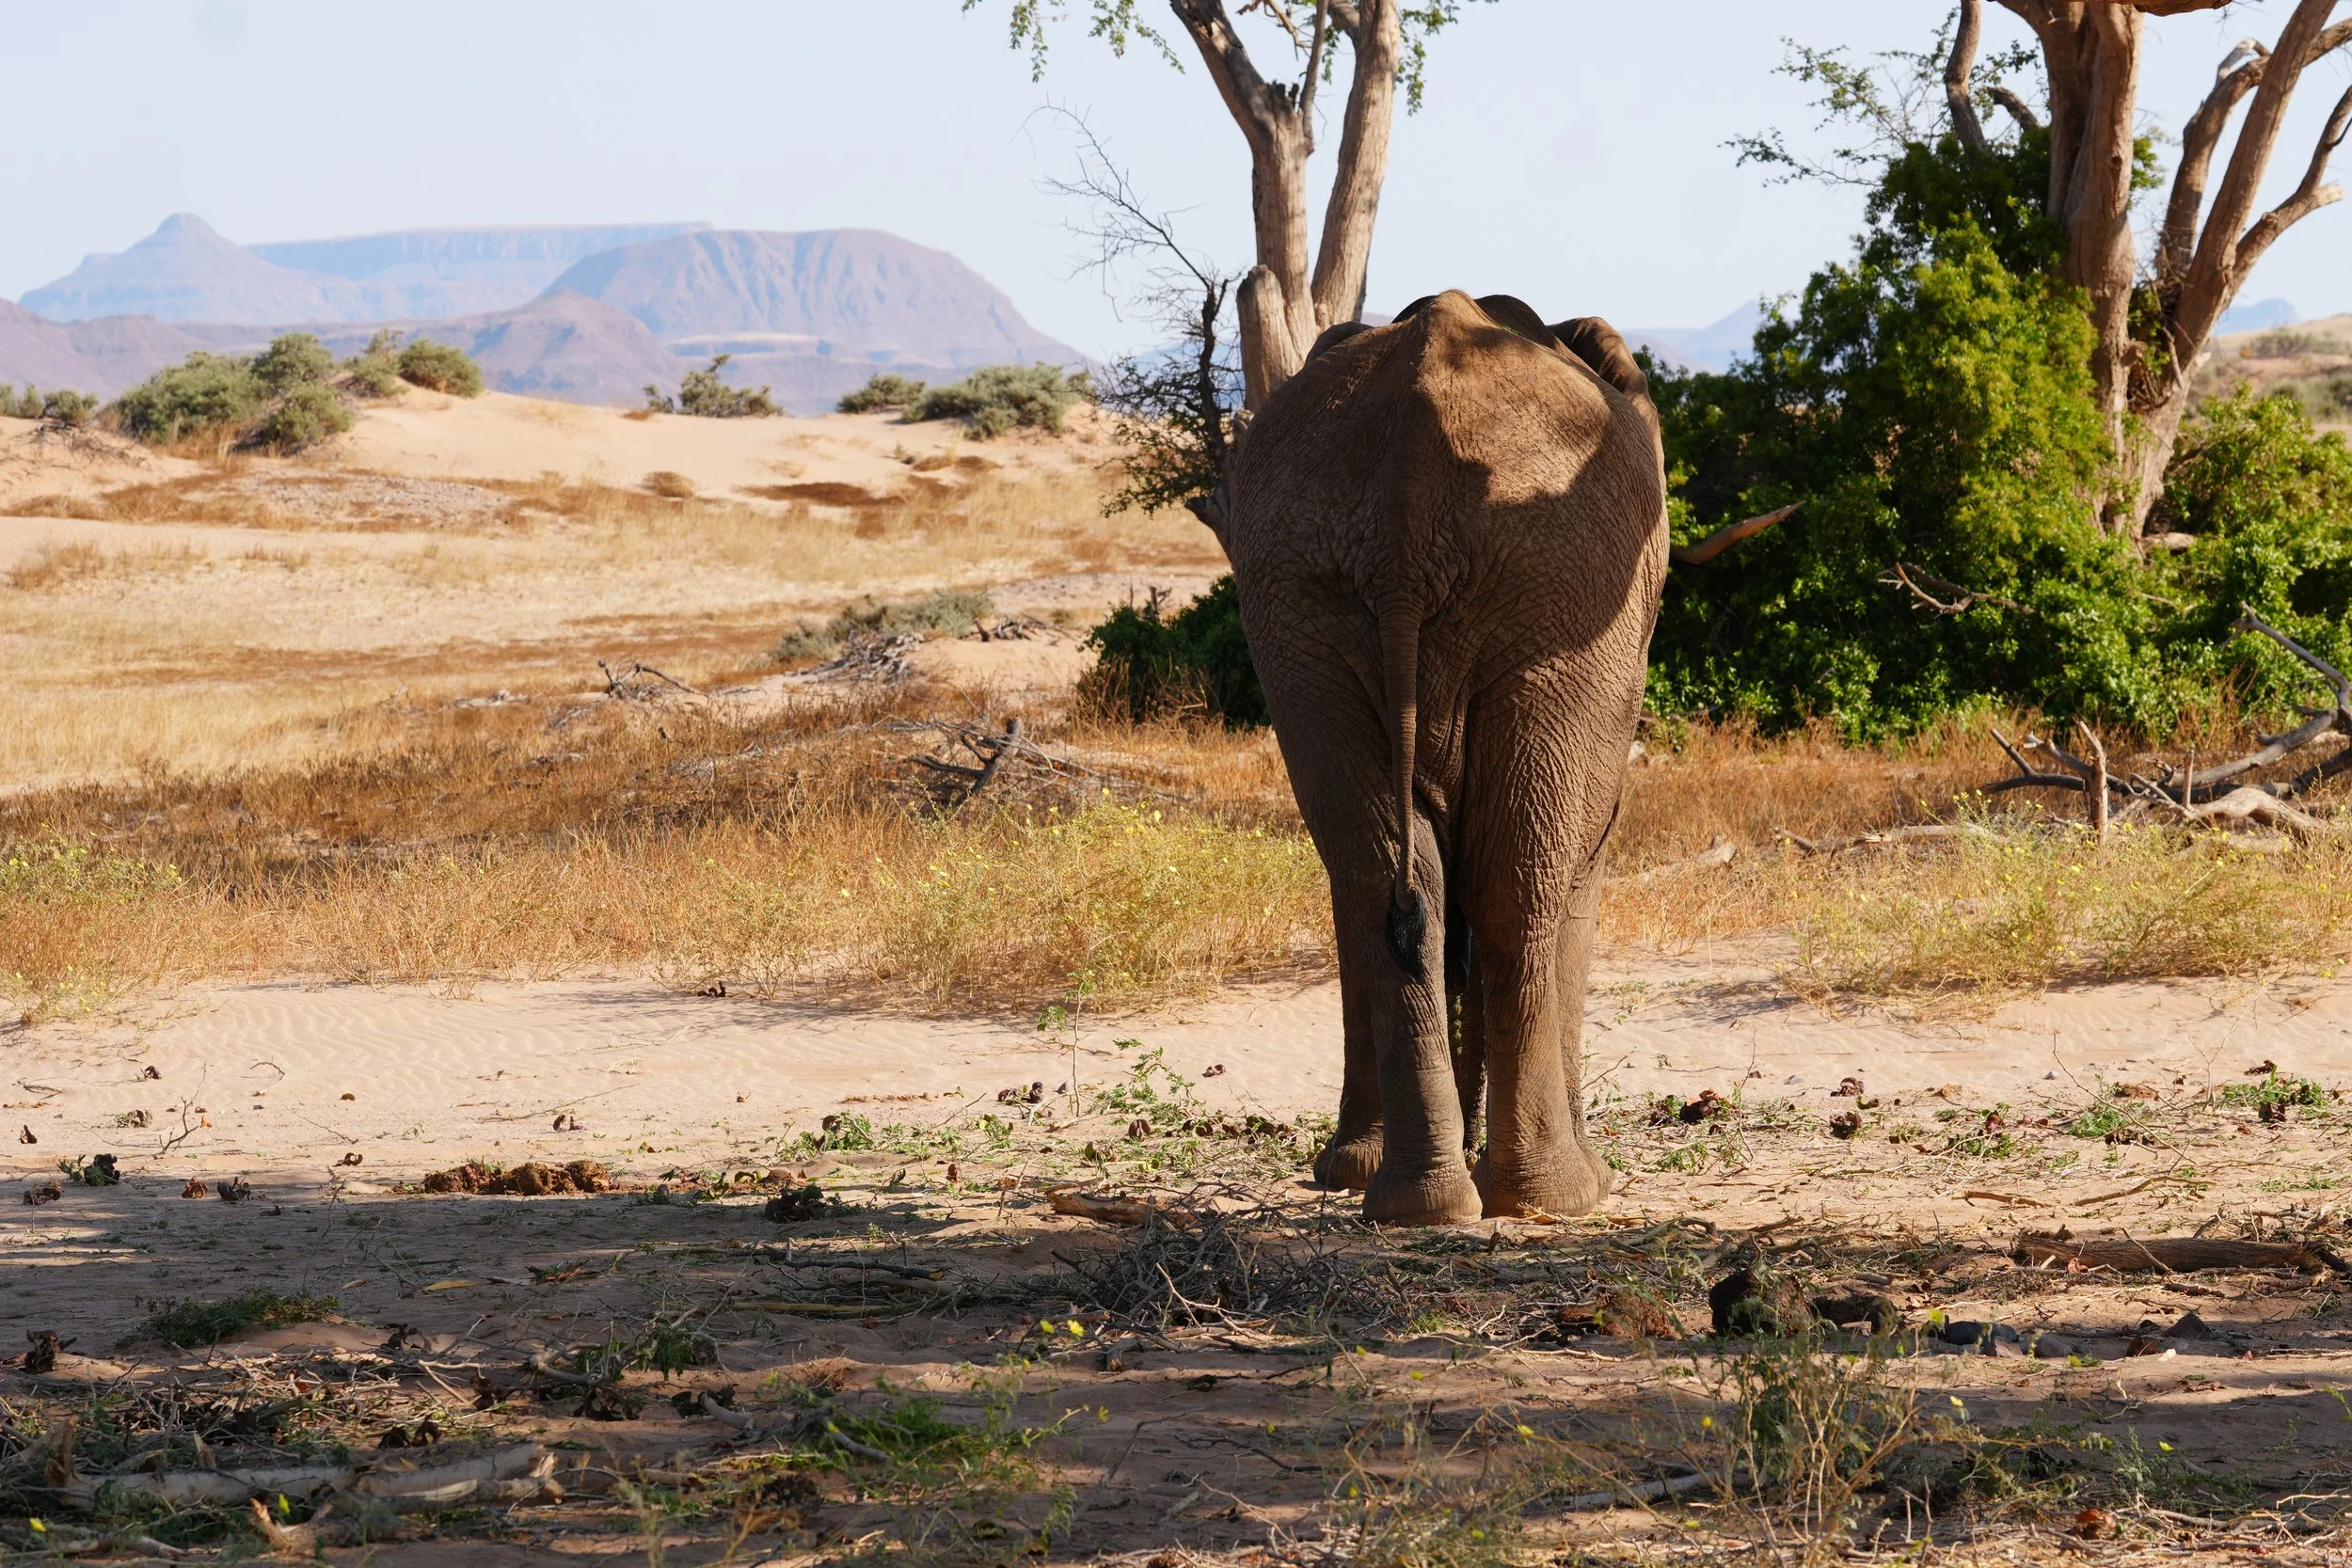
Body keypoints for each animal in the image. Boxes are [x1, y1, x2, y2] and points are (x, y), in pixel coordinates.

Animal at [1216, 289, 1668, 1226]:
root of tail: (1408, 480)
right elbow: (1581, 870)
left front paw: (1353, 1171)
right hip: (1552, 602)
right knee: (1520, 887)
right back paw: (1551, 1196)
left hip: (1298, 603)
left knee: (1378, 878)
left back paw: (1413, 1203)